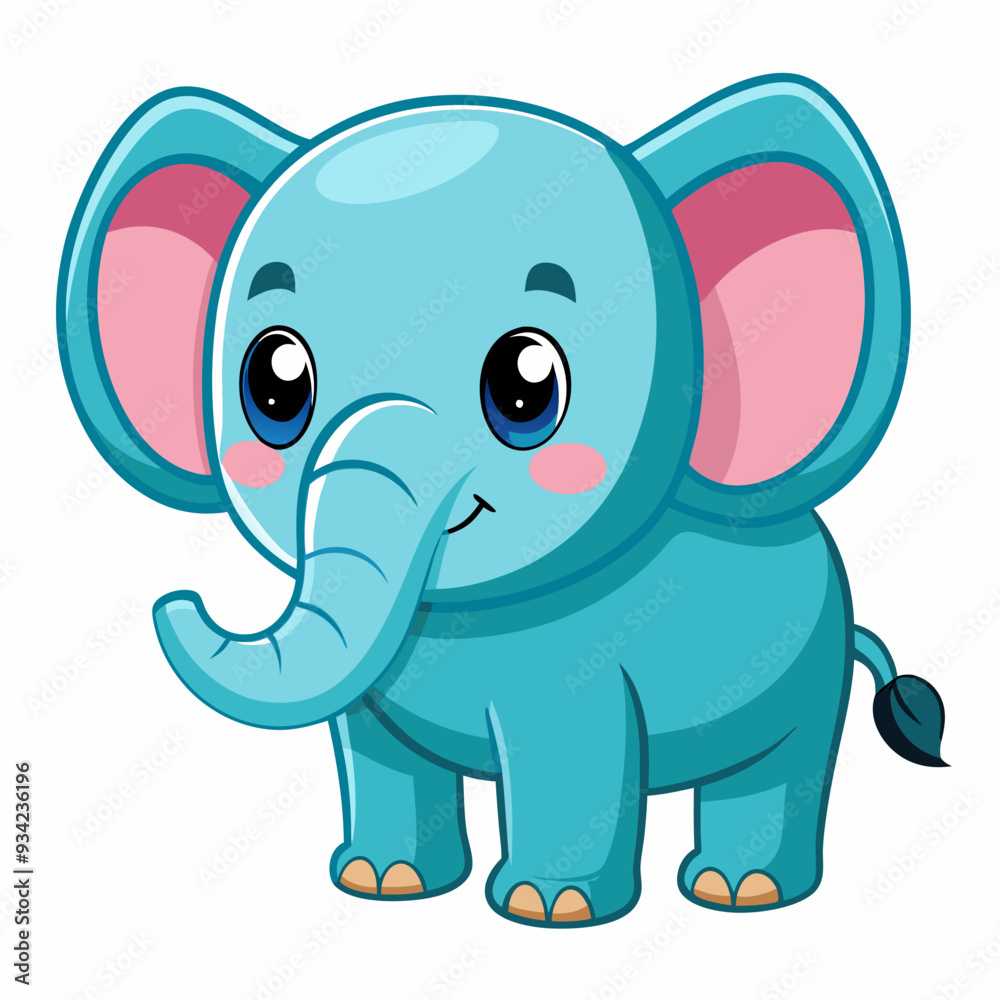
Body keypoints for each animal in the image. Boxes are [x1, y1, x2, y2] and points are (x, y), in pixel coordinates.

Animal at [59, 74, 947, 927]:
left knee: (779, 769)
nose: (175, 600)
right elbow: (372, 748)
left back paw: (741, 890)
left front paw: (547, 908)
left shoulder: (580, 670)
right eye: (273, 385)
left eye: (527, 386)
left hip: (811, 676)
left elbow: (567, 755)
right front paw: (383, 882)